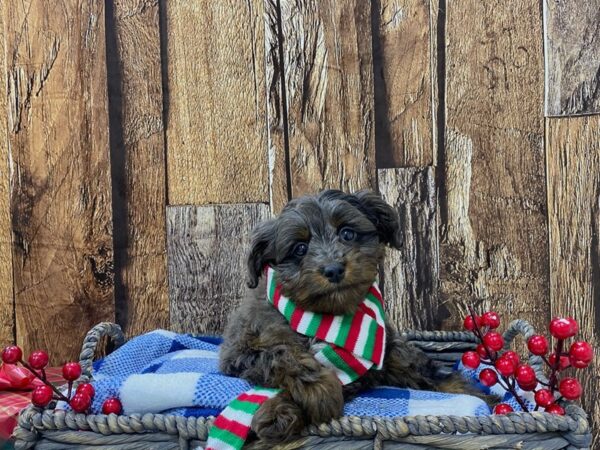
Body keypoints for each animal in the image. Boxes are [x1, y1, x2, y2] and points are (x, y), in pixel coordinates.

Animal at [220, 189, 482, 442]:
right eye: (300, 248)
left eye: (347, 234)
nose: (333, 269)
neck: (328, 317)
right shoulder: (241, 349)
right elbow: (282, 353)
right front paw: (313, 393)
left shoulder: (382, 353)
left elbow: (425, 369)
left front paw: (478, 397)